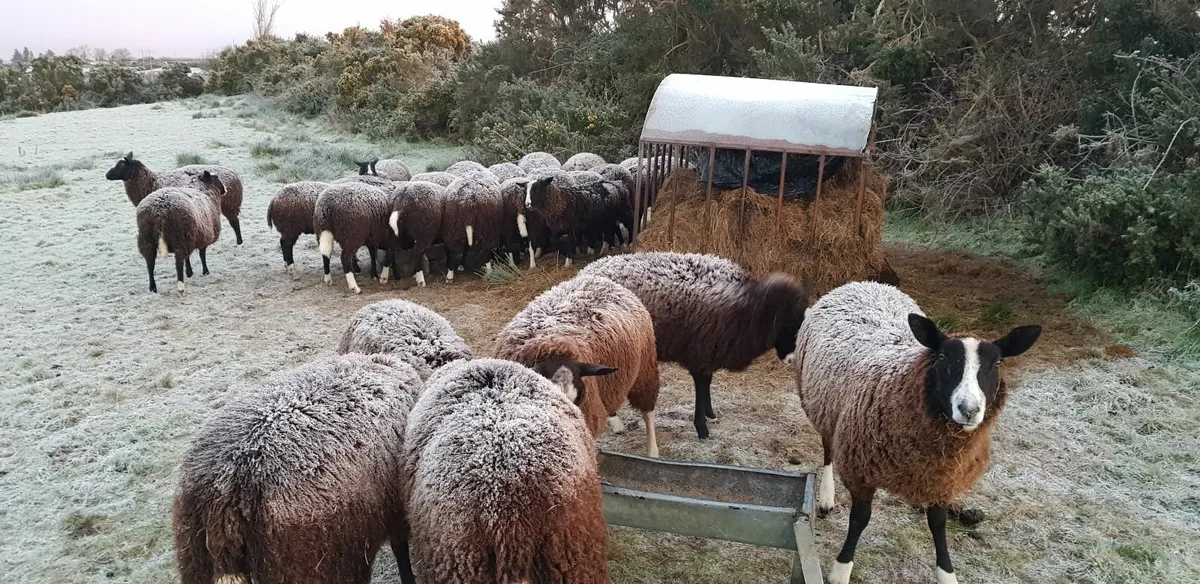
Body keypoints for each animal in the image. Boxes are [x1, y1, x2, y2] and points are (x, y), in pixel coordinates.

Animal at [106, 152, 245, 244]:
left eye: (121, 165)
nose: (107, 175)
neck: (150, 181)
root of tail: (234, 175)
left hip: (229, 204)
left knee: (234, 222)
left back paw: (239, 242)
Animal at [581, 252, 810, 439]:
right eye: (788, 323)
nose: (792, 359)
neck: (749, 310)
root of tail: (586, 271)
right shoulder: (701, 352)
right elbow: (701, 387)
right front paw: (702, 428)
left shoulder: (709, 352)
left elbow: (707, 384)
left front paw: (710, 414)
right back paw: (616, 423)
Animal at [794, 282, 1040, 584]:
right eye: (943, 356)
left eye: (997, 363)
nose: (969, 409)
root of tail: (862, 283)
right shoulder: (860, 468)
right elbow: (860, 519)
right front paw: (841, 568)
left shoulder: (943, 479)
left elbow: (938, 523)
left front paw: (947, 573)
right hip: (823, 405)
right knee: (828, 448)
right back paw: (826, 497)